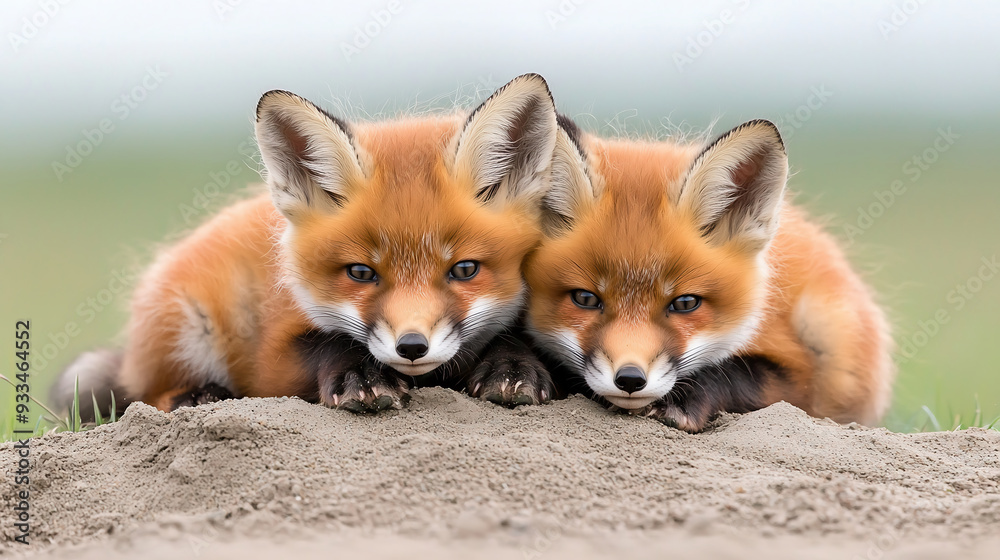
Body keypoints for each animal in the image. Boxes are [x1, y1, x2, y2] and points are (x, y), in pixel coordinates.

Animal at [52, 74, 561, 419]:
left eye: (465, 270)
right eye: (360, 273)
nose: (412, 347)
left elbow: (510, 336)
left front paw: (511, 368)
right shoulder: (272, 362)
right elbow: (329, 343)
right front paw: (362, 376)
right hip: (183, 328)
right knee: (142, 395)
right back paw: (198, 396)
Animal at [525, 117, 894, 432]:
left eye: (685, 304)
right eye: (586, 299)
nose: (630, 379)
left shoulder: (801, 377)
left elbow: (731, 372)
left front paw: (683, 401)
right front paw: (520, 370)